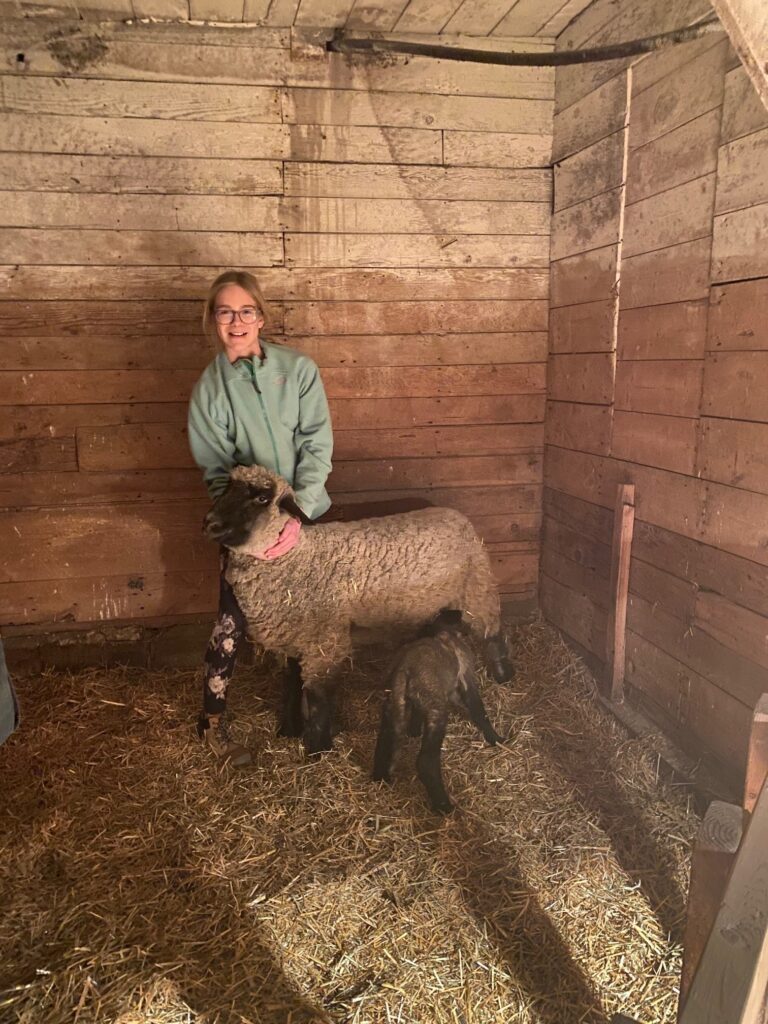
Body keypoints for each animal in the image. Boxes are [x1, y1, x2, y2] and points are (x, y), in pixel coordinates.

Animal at [204, 464, 514, 755]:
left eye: (261, 497)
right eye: (227, 486)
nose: (209, 523)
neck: (295, 558)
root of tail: (455, 515)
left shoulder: (325, 644)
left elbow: (318, 699)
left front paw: (318, 748)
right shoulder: (294, 637)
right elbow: (291, 682)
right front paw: (289, 730)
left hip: (476, 589)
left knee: (492, 632)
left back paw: (503, 674)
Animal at [373, 615, 504, 814]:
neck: (444, 632)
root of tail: (404, 671)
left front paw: (414, 730)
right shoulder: (465, 676)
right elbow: (478, 709)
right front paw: (495, 738)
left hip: (393, 705)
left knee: (385, 741)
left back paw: (379, 777)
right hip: (436, 710)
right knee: (426, 762)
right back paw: (443, 805)